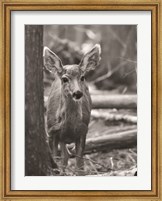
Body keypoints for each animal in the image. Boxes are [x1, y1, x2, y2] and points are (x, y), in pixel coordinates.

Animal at [43, 44, 100, 176]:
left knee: (67, 156)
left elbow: (80, 164)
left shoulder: (83, 130)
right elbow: (56, 158)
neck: (69, 126)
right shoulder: (51, 131)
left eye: (82, 77)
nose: (77, 93)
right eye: (64, 79)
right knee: (65, 156)